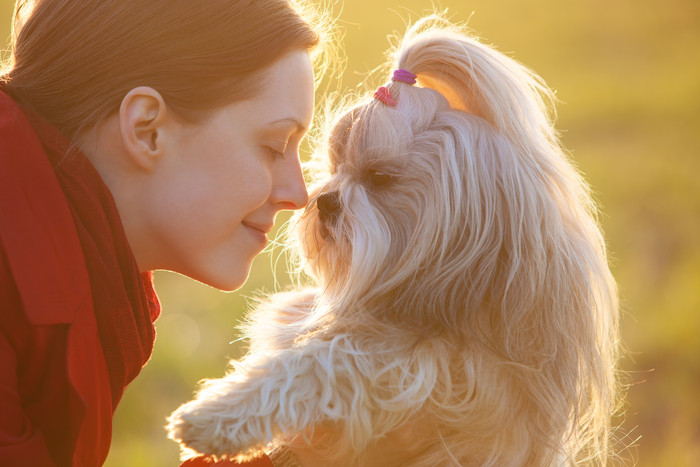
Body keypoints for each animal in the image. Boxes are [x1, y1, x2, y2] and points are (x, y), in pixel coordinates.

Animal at [168, 16, 616, 466]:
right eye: (335, 166)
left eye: (380, 177)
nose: (325, 201)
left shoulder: (432, 371)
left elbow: (323, 362)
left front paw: (211, 416)